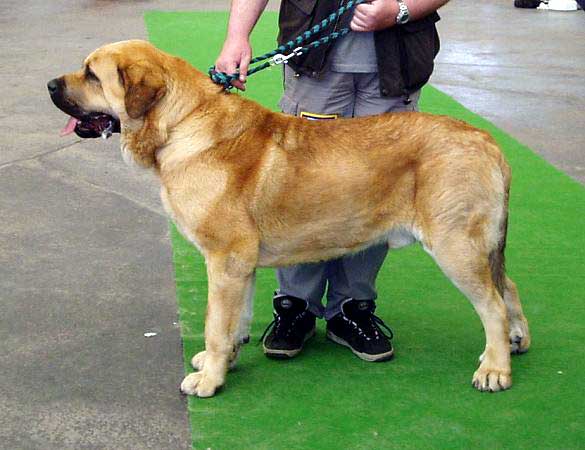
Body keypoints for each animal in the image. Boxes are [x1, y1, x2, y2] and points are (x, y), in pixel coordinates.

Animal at [48, 38, 528, 398]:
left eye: (92, 75)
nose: (51, 85)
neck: (181, 124)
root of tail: (486, 139)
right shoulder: (239, 266)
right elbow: (235, 321)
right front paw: (225, 362)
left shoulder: (224, 259)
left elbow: (214, 324)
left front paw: (209, 379)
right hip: (481, 247)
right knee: (507, 287)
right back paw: (516, 342)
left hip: (455, 245)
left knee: (492, 306)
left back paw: (494, 369)